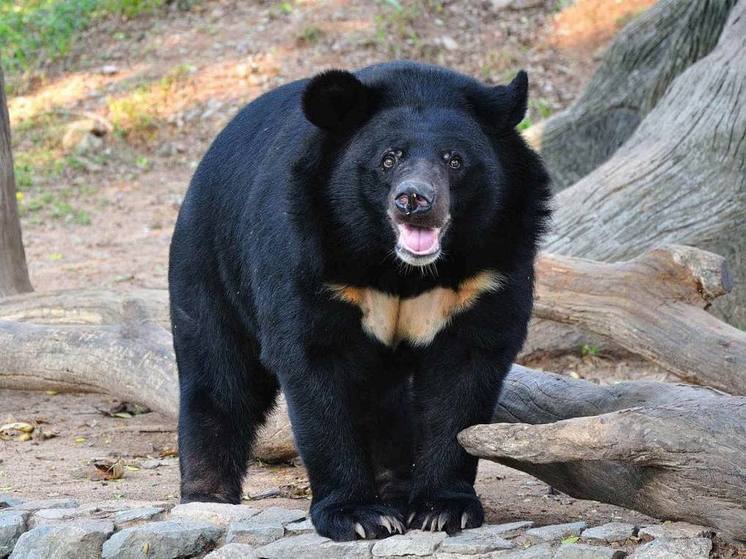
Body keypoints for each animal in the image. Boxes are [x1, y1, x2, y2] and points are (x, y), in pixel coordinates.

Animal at [170, 60, 552, 544]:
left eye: (454, 160)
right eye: (389, 159)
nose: (414, 200)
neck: (401, 269)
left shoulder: (488, 272)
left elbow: (463, 380)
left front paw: (443, 509)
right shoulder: (309, 256)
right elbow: (315, 367)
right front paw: (357, 515)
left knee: (388, 403)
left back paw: (396, 490)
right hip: (209, 262)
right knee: (219, 375)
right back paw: (207, 496)